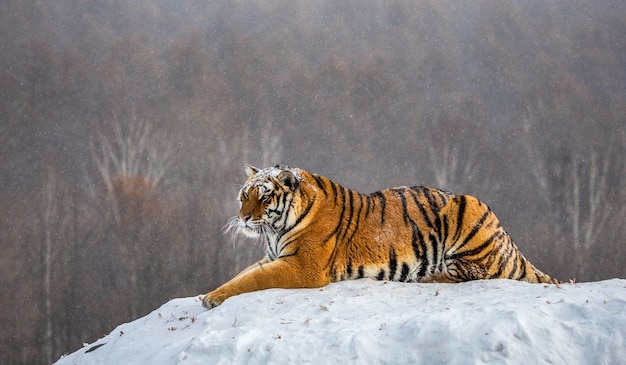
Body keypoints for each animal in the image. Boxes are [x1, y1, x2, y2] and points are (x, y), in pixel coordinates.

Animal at [202, 164, 560, 308]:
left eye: (263, 198)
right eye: (244, 195)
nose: (243, 218)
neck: (275, 232)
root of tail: (510, 242)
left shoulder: (303, 266)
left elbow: (254, 279)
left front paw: (212, 298)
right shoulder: (274, 256)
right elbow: (245, 273)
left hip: (468, 212)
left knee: (475, 273)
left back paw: (426, 277)